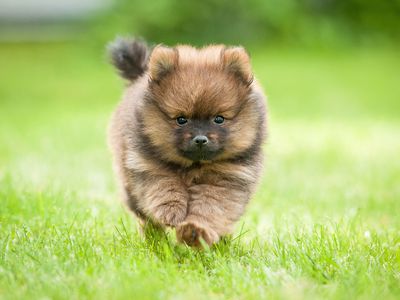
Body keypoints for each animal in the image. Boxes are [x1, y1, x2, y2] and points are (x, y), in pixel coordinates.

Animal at [108, 37, 268, 247]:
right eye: (181, 119)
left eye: (219, 119)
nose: (200, 139)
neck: (194, 166)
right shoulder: (149, 166)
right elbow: (165, 186)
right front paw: (171, 211)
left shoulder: (226, 178)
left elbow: (210, 208)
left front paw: (194, 231)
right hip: (130, 188)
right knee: (146, 218)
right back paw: (154, 240)